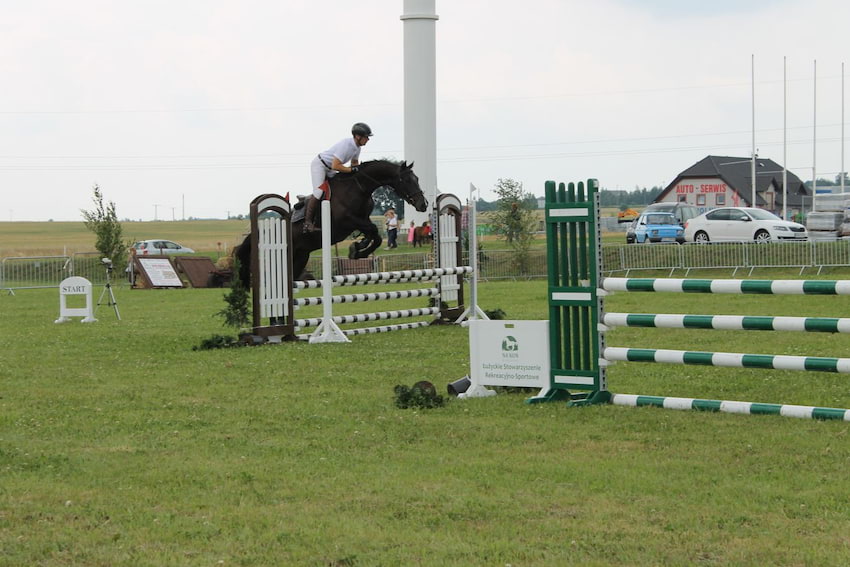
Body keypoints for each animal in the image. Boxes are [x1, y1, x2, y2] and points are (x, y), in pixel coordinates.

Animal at [235, 159, 428, 284]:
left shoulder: (361, 220)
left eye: (417, 179)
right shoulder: (348, 221)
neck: (359, 187)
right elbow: (374, 231)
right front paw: (357, 250)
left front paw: (357, 249)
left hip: (301, 256)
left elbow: (375, 234)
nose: (423, 204)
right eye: (406, 180)